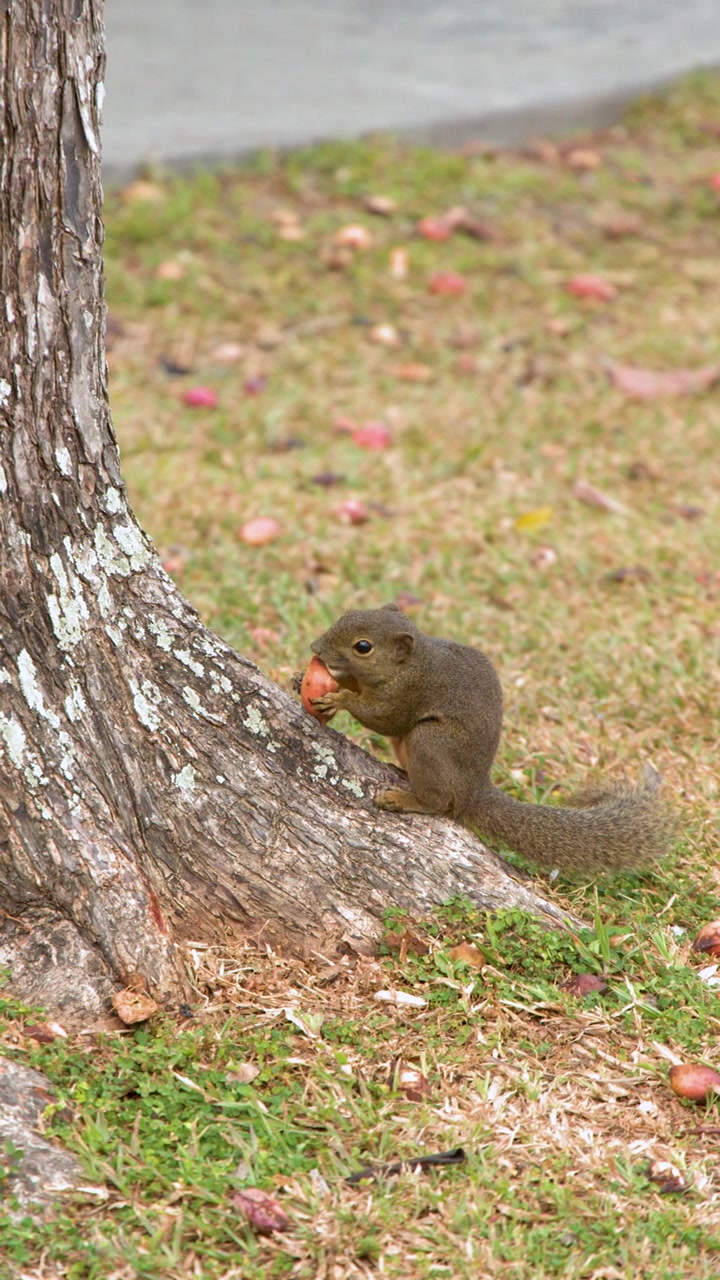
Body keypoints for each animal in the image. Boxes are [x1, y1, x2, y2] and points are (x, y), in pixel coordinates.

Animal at [308, 604, 676, 875]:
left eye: (363, 647)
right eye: (345, 615)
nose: (315, 648)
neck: (412, 662)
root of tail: (474, 790)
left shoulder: (409, 692)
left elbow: (384, 719)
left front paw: (340, 699)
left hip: (430, 741)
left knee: (442, 803)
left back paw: (405, 798)